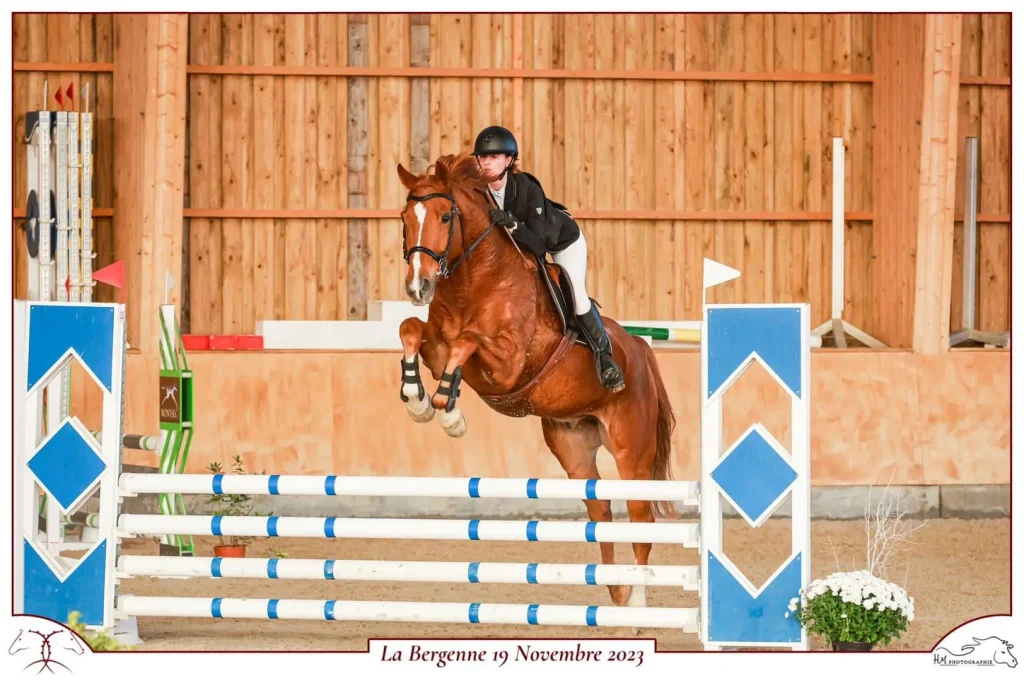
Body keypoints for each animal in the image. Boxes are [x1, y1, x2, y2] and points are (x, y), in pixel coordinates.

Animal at [391, 153, 679, 614]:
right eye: (404, 219)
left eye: (445, 216)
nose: (419, 287)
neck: (474, 280)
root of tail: (638, 347)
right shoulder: (438, 346)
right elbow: (411, 330)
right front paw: (418, 398)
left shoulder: (509, 362)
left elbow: (467, 343)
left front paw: (449, 414)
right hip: (573, 446)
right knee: (601, 514)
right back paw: (614, 591)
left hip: (631, 452)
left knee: (640, 517)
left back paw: (636, 603)